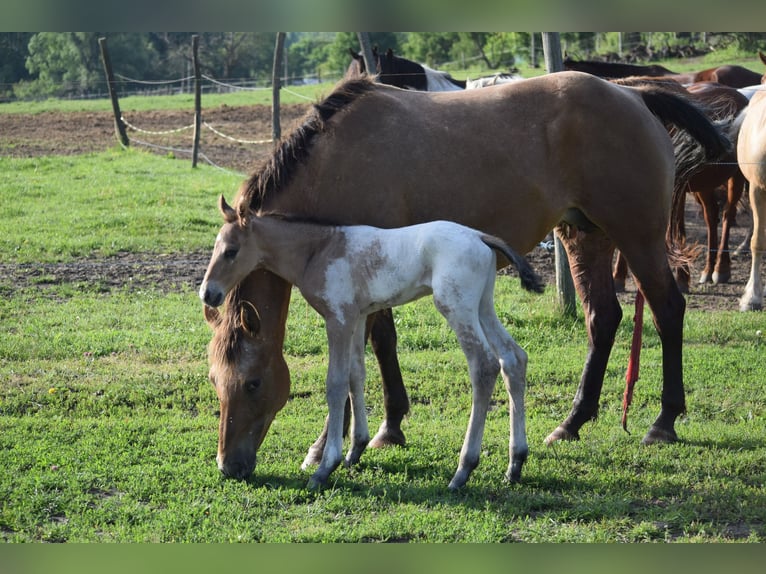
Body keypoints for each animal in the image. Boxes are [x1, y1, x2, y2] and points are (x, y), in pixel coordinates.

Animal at [200, 197, 544, 490]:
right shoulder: (358, 316)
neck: (318, 250)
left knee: (483, 366)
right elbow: (357, 375)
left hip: (456, 307)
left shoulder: (337, 319)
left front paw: (324, 467)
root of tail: (480, 237)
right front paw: (355, 450)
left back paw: (463, 470)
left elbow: (336, 384)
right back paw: (515, 464)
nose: (208, 293)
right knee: (513, 358)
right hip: (483, 306)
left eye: (231, 251)